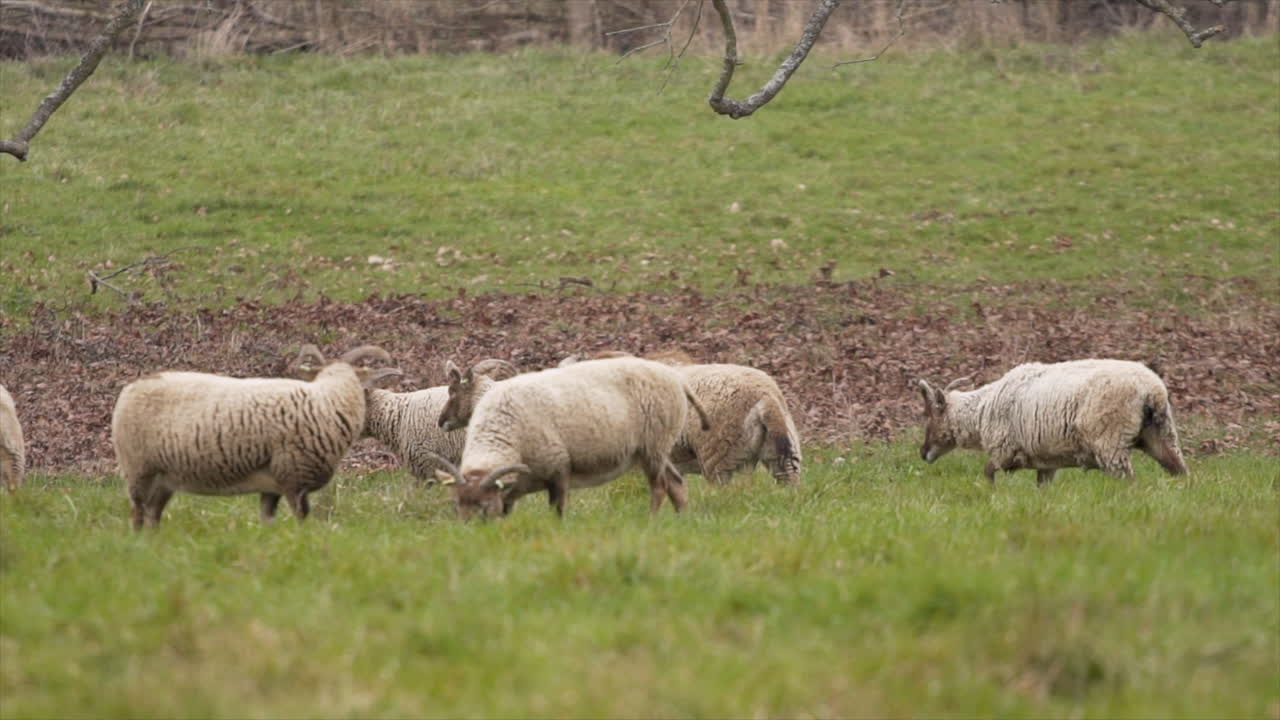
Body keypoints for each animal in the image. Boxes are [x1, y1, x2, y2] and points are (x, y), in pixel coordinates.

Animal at [111, 345, 400, 529]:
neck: (327, 398)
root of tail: (131, 388)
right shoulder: (292, 478)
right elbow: (302, 518)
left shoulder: (272, 485)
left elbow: (267, 520)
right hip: (138, 469)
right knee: (137, 513)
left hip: (165, 478)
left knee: (153, 514)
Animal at [433, 356, 711, 520]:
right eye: (456, 505)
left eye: (453, 391)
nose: (441, 421)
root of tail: (677, 379)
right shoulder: (513, 490)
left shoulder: (558, 469)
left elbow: (557, 512)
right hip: (656, 448)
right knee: (676, 482)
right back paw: (682, 520)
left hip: (654, 445)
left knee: (660, 486)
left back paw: (650, 521)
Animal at [917, 359, 1188, 485]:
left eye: (930, 416)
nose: (922, 453)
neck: (982, 410)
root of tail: (1152, 391)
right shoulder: (1046, 462)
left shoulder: (1004, 450)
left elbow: (987, 472)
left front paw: (989, 494)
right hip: (1162, 435)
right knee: (1181, 471)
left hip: (1111, 443)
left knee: (1129, 482)